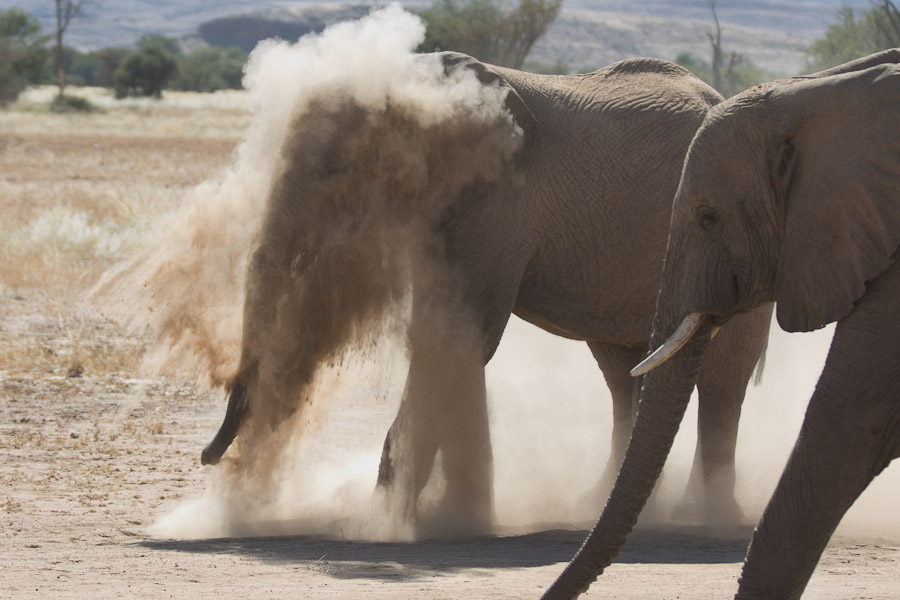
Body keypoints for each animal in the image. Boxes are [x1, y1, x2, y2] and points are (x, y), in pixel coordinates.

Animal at [199, 50, 772, 528]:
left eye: (336, 171)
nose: (208, 459)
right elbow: (449, 338)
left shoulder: (498, 204)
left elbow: (462, 335)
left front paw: (387, 521)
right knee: (623, 372)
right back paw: (601, 505)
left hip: (736, 243)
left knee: (722, 378)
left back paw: (704, 515)